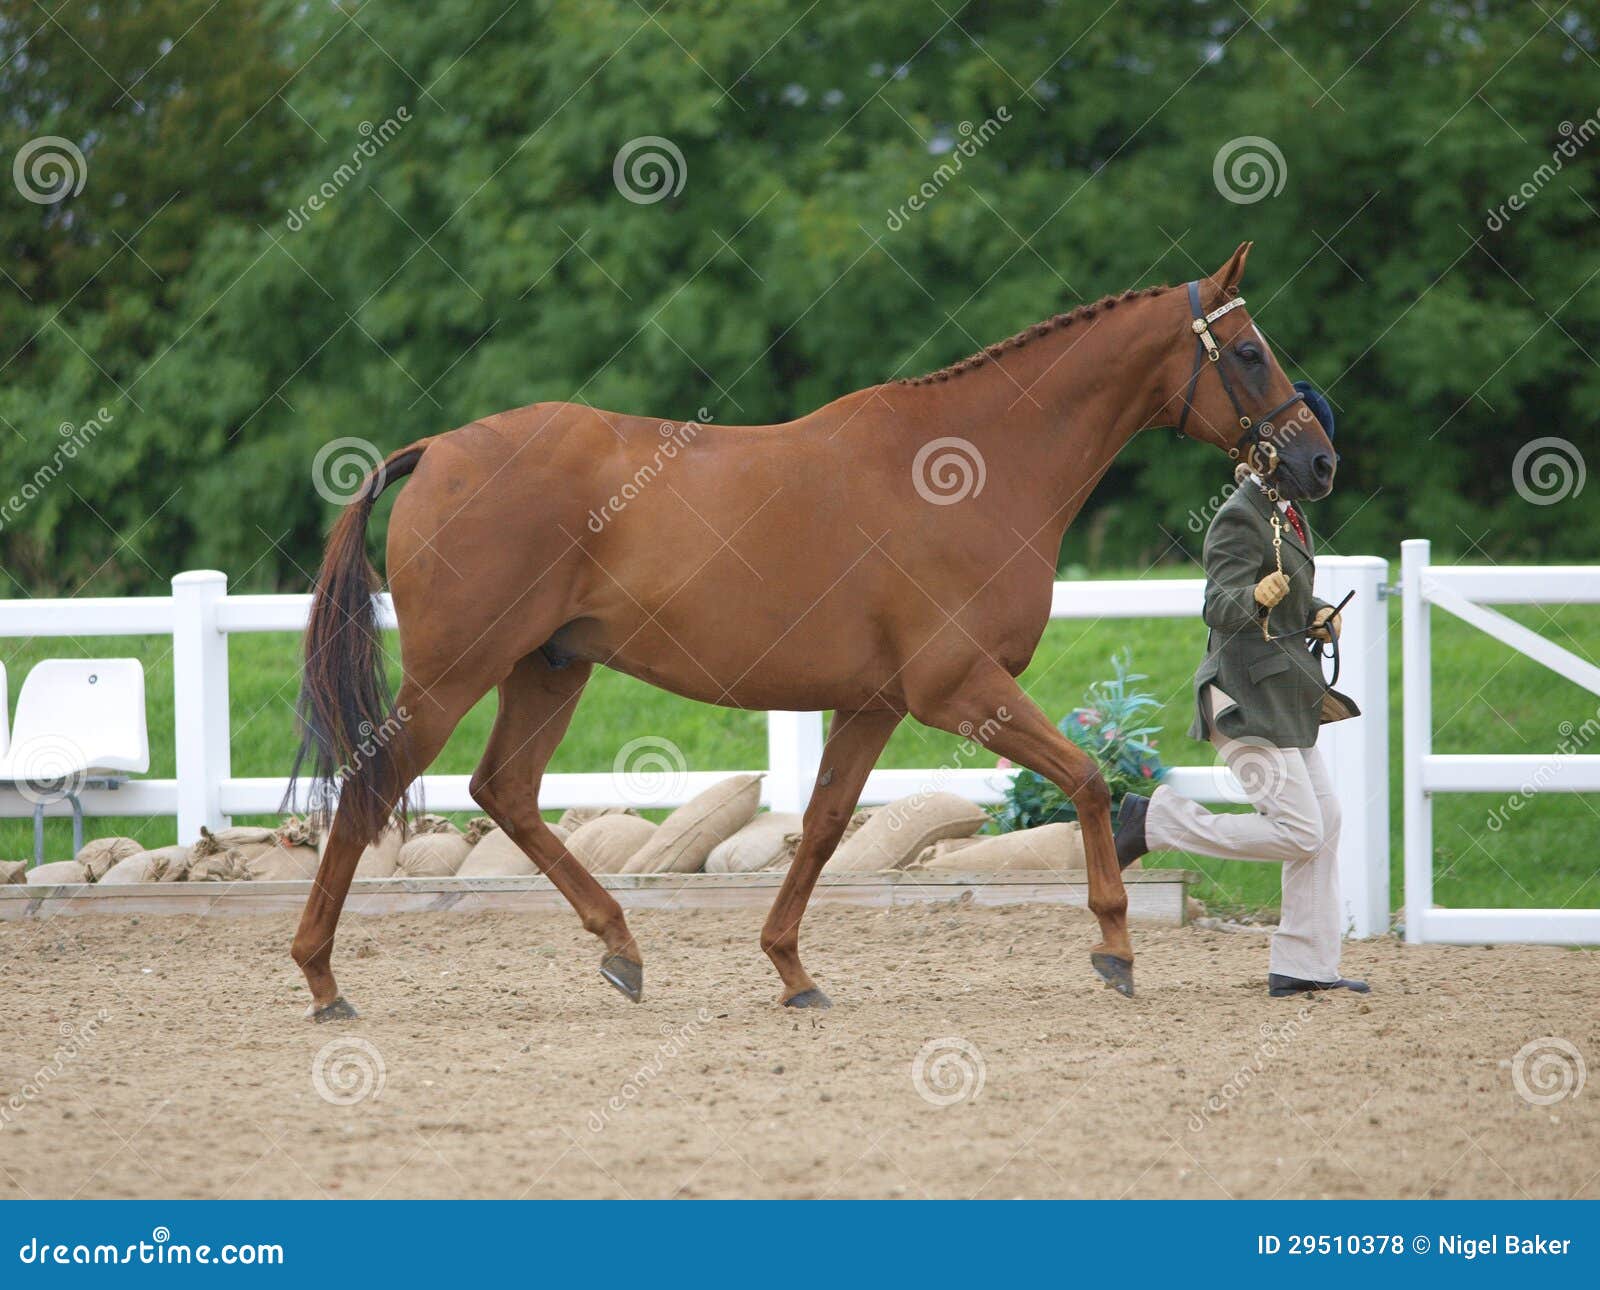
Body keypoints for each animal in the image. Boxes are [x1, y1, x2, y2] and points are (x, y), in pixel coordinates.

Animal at [287, 241, 1336, 1020]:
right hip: (455, 674)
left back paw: (622, 948)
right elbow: (1083, 778)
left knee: (504, 790)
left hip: (549, 669)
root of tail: (438, 451)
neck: (974, 467)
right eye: (1249, 353)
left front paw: (791, 969)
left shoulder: (873, 705)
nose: (1318, 461)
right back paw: (322, 977)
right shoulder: (958, 691)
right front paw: (1114, 945)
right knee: (373, 789)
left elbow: (827, 824)